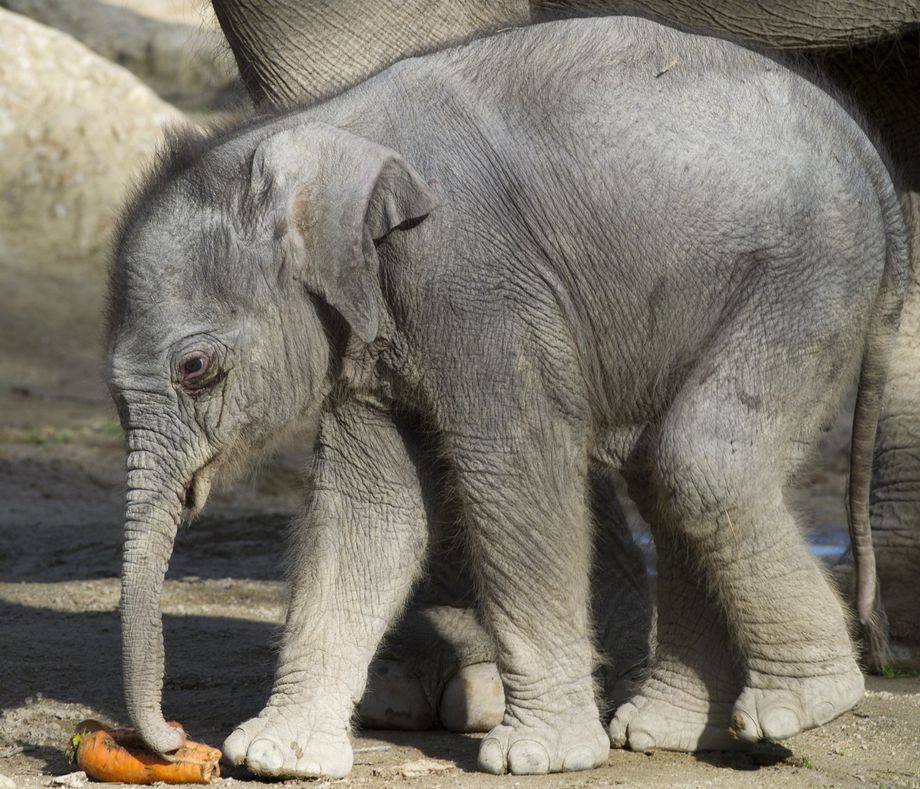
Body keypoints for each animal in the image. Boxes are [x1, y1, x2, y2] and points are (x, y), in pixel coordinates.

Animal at [108, 15, 904, 780]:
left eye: (196, 367)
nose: (171, 741)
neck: (325, 127)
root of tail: (870, 156)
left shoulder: (479, 282)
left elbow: (512, 472)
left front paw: (537, 756)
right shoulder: (369, 331)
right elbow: (370, 506)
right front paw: (277, 757)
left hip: (809, 277)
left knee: (702, 459)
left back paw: (800, 707)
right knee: (663, 472)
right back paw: (665, 731)